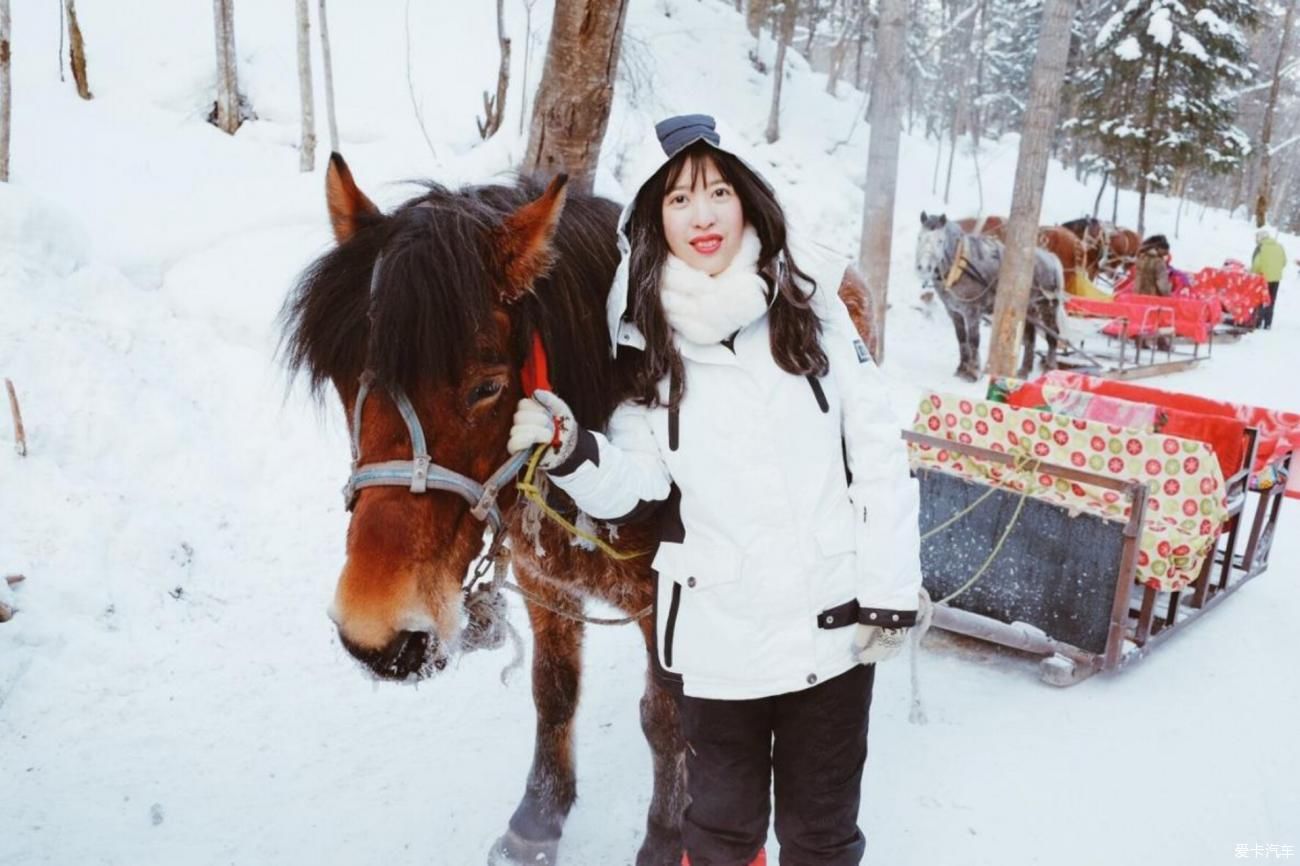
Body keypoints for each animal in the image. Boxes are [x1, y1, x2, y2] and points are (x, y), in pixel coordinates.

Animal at [283, 155, 686, 863]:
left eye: (486, 387)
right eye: (341, 377)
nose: (376, 635)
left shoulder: (670, 604)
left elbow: (665, 720)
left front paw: (667, 838)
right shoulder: (546, 583)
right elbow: (554, 690)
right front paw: (540, 818)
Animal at [915, 210, 1066, 379]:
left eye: (940, 241)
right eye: (919, 237)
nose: (924, 268)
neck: (960, 268)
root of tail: (1051, 258)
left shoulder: (972, 311)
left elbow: (973, 340)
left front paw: (973, 372)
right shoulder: (954, 312)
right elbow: (961, 339)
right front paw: (961, 368)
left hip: (1047, 307)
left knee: (1052, 335)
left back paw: (1050, 367)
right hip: (1028, 309)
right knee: (1030, 338)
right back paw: (1024, 370)